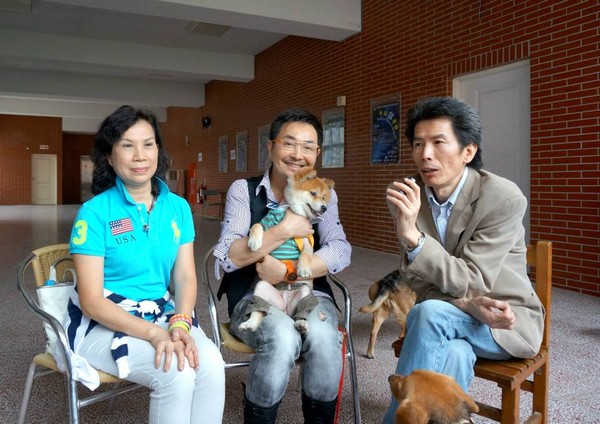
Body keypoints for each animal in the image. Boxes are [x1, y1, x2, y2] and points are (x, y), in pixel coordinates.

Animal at [238, 168, 332, 334]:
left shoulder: (306, 240)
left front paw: (304, 269)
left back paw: (301, 323)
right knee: (259, 310)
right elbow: (256, 226)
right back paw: (249, 324)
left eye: (323, 197)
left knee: (301, 312)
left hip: (305, 292)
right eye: (313, 193)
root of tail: (286, 309)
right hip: (262, 289)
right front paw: (254, 241)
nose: (324, 208)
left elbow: (306, 255)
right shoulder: (266, 224)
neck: (288, 211)